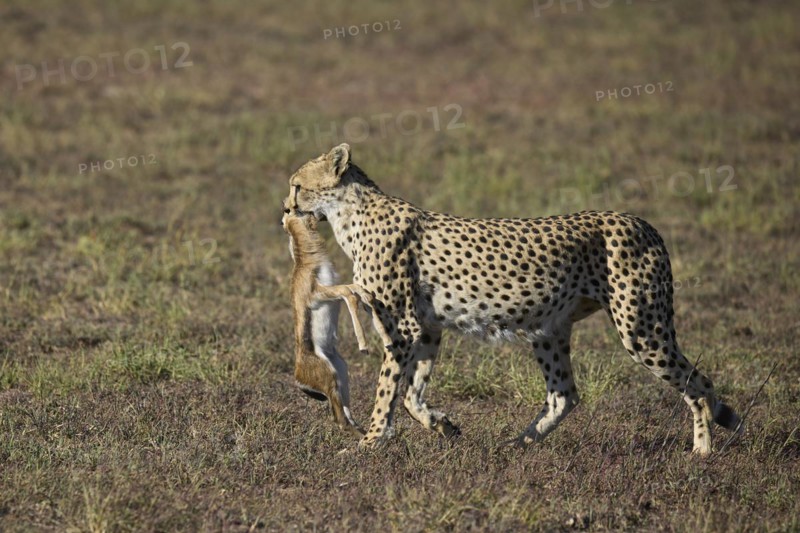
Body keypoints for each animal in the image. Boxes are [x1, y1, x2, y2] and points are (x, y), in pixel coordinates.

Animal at [283, 143, 743, 455]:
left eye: (297, 185)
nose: (285, 207)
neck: (352, 215)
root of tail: (643, 222)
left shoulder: (404, 329)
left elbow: (386, 390)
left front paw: (370, 441)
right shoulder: (427, 328)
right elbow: (412, 393)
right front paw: (443, 425)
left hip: (641, 327)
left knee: (697, 381)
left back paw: (703, 450)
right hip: (551, 329)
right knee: (564, 394)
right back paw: (518, 443)